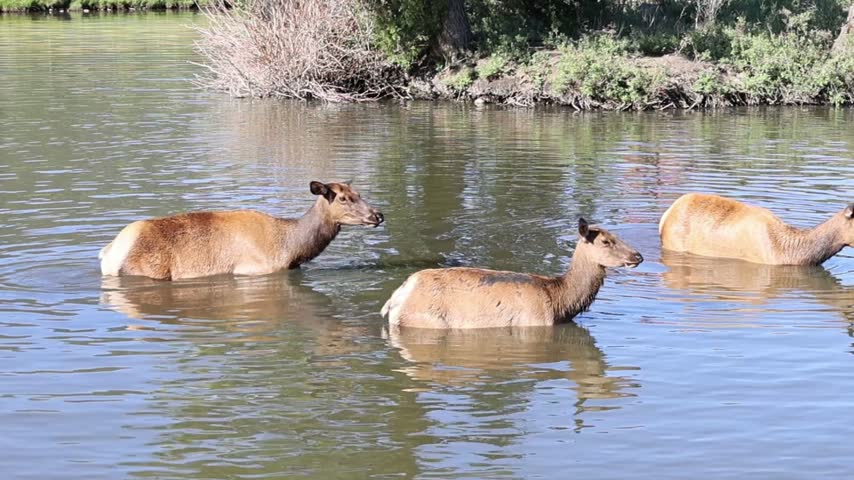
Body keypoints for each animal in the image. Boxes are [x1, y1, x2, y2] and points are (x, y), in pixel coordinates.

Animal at [99, 181, 383, 280]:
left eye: (359, 193)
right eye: (343, 198)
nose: (377, 215)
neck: (293, 249)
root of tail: (108, 252)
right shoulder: (255, 269)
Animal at [380, 218, 643, 329]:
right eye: (606, 241)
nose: (638, 256)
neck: (561, 303)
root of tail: (395, 299)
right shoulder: (536, 322)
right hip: (426, 321)